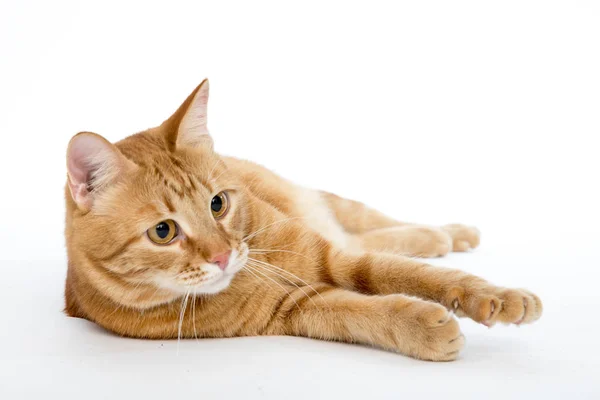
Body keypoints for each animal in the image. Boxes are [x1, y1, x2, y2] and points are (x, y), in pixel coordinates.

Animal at [65, 79, 544, 360]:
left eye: (218, 204)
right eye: (163, 232)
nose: (223, 256)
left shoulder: (329, 257)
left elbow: (412, 274)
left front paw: (499, 296)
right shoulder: (296, 306)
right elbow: (363, 310)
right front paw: (424, 328)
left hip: (327, 206)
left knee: (370, 227)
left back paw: (450, 233)